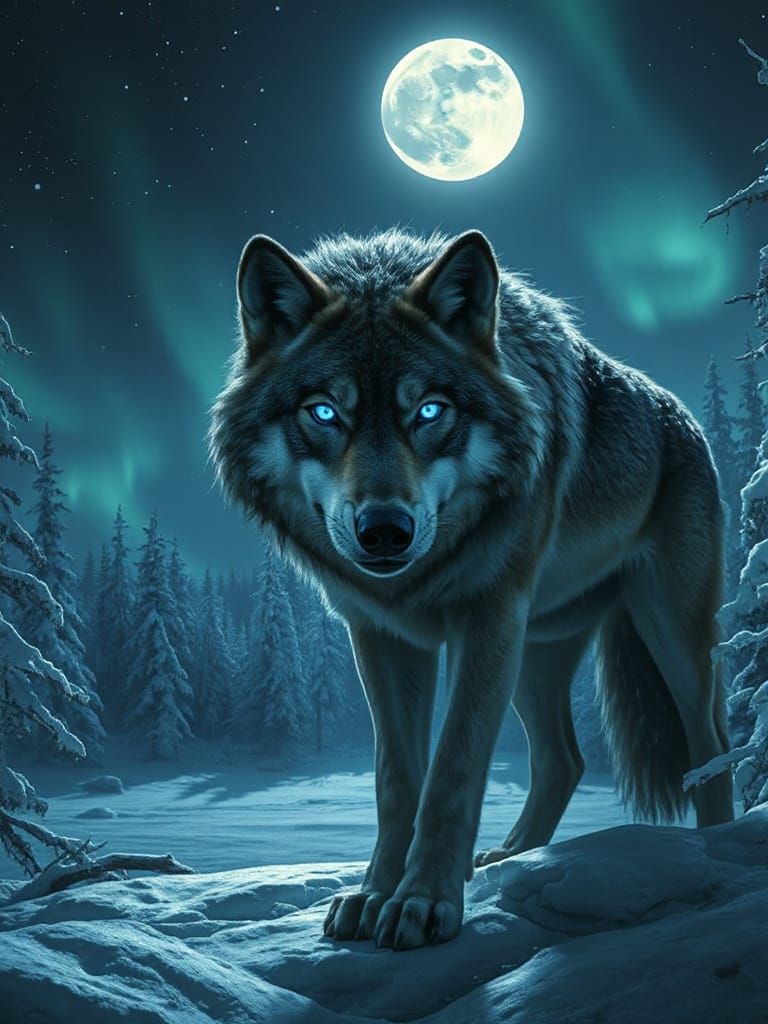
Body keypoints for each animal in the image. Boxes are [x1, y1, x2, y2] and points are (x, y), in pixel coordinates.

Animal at [209, 226, 734, 951]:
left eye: (430, 410)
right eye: (325, 413)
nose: (384, 532)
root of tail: (683, 415)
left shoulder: (485, 620)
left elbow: (452, 770)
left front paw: (424, 901)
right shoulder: (383, 636)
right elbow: (397, 781)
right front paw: (376, 893)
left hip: (669, 639)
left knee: (712, 745)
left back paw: (716, 850)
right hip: (536, 653)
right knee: (564, 760)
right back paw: (512, 856)